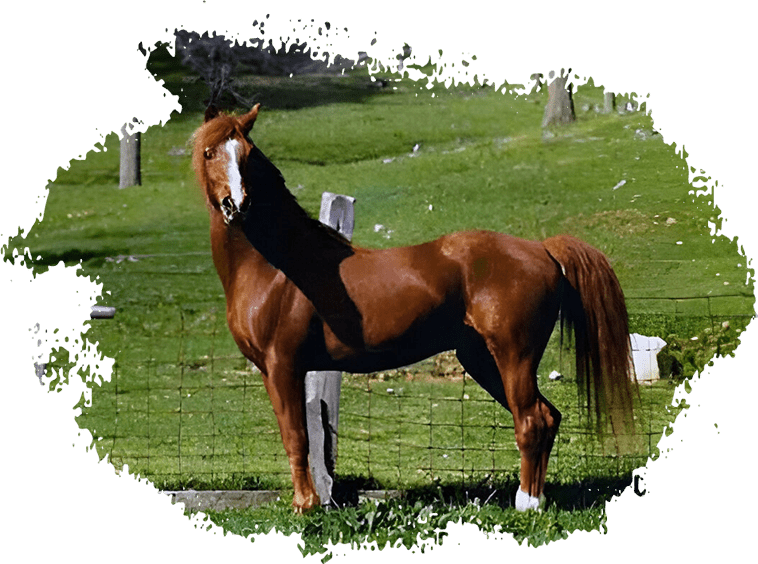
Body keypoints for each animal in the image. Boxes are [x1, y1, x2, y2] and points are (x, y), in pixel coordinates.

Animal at [192, 103, 638, 513]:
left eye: (248, 153)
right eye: (210, 152)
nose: (237, 204)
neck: (280, 267)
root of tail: (541, 248)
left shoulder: (283, 366)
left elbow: (296, 437)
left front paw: (307, 506)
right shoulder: (275, 370)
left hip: (515, 355)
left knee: (531, 420)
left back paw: (526, 504)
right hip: (481, 358)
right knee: (547, 416)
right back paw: (536, 500)